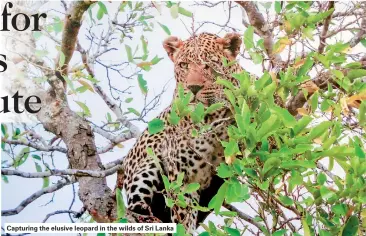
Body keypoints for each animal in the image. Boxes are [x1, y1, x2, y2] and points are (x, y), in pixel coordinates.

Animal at [116, 31, 243, 232]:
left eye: (209, 65)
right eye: (184, 65)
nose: (193, 88)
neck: (211, 118)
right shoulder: (183, 178)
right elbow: (183, 218)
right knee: (136, 208)